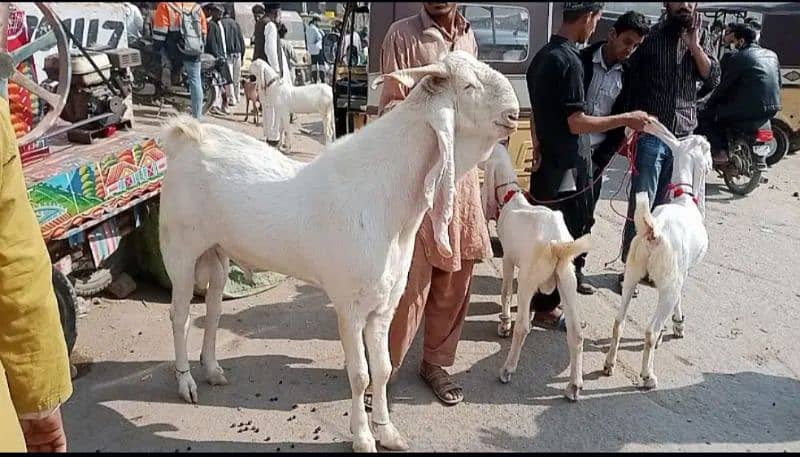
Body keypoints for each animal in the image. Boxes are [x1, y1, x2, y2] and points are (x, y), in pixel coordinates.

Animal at [158, 50, 520, 452]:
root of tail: (186, 138)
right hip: (180, 251)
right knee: (179, 316)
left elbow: (383, 368)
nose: (514, 113)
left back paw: (212, 369)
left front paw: (387, 430)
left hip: (216, 251)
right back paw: (186, 382)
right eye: (469, 86)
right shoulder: (350, 305)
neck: (387, 200)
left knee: (214, 307)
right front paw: (362, 437)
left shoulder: (384, 303)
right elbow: (360, 374)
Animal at [478, 142, 592, 400]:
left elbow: (505, 291)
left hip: (528, 279)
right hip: (566, 279)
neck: (512, 198)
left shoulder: (509, 258)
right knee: (576, 332)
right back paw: (574, 386)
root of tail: (557, 245)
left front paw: (504, 323)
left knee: (523, 327)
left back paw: (507, 370)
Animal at [600, 118, 712, 388]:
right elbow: (680, 297)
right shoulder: (682, 273)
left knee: (618, 321)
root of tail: (654, 231)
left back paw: (609, 364)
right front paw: (678, 326)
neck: (685, 200)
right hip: (667, 280)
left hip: (632, 271)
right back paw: (648, 376)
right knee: (649, 330)